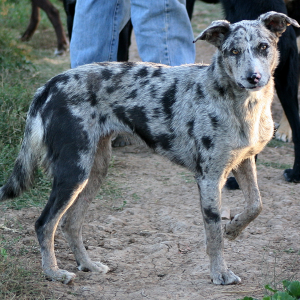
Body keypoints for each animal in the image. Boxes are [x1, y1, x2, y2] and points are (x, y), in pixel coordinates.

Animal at [1, 11, 298, 286]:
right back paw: (53, 272)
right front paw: (220, 273)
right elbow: (213, 235)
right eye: (233, 51)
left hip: (93, 172)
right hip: (73, 172)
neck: (243, 106)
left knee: (70, 223)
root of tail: (49, 85)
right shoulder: (209, 178)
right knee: (44, 223)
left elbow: (255, 205)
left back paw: (88, 265)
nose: (253, 77)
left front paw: (234, 229)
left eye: (263, 47)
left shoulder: (244, 162)